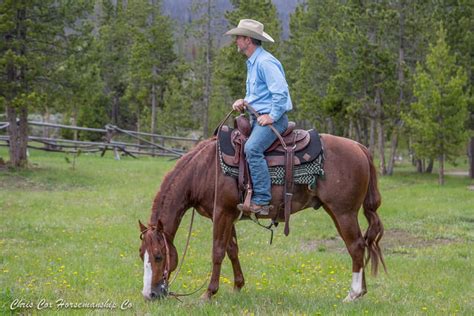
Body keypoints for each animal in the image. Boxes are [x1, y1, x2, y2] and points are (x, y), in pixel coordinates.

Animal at [138, 132, 386, 302]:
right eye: (142, 255)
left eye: (159, 256)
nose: (149, 294)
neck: (204, 170)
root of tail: (359, 147)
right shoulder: (229, 214)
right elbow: (232, 250)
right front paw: (237, 286)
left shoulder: (222, 213)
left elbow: (217, 251)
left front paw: (208, 293)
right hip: (335, 211)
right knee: (359, 245)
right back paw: (361, 292)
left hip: (344, 212)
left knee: (356, 246)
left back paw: (352, 294)